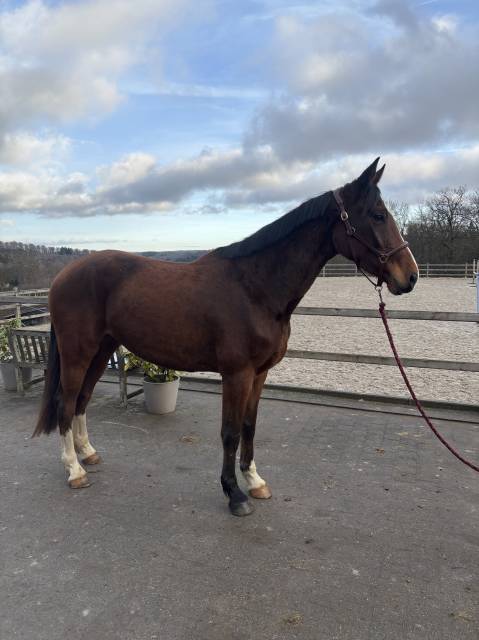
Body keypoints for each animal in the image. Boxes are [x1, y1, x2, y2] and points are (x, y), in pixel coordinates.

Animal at [33, 158, 418, 516]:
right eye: (378, 215)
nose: (411, 276)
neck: (255, 288)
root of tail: (62, 276)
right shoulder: (237, 374)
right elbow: (230, 432)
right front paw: (234, 494)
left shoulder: (259, 374)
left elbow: (248, 426)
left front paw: (255, 481)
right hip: (78, 352)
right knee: (66, 402)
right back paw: (74, 470)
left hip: (102, 350)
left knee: (82, 400)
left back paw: (88, 454)